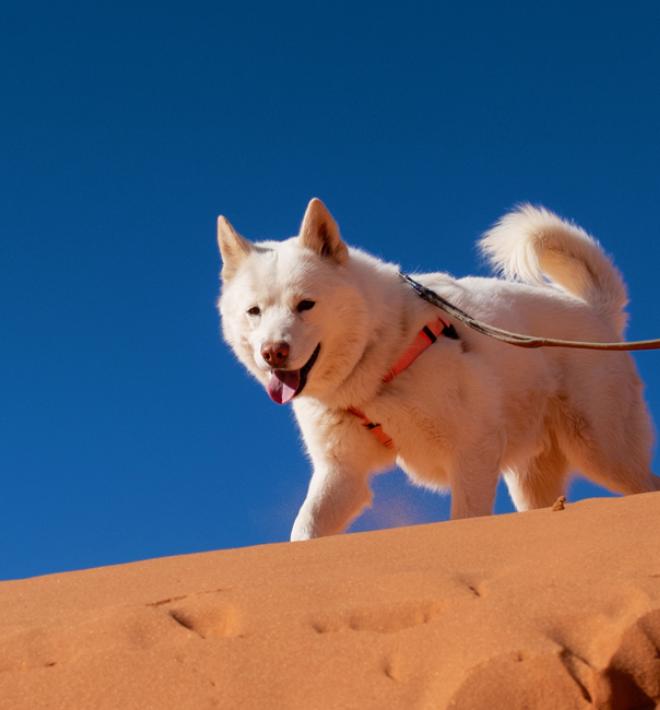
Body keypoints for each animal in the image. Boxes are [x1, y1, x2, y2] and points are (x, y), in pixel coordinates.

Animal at [215, 197, 656, 544]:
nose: (273, 353)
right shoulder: (342, 474)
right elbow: (303, 531)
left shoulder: (473, 452)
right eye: (254, 311)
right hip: (532, 480)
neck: (380, 356)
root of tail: (596, 311)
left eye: (305, 304)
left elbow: (465, 520)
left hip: (605, 453)